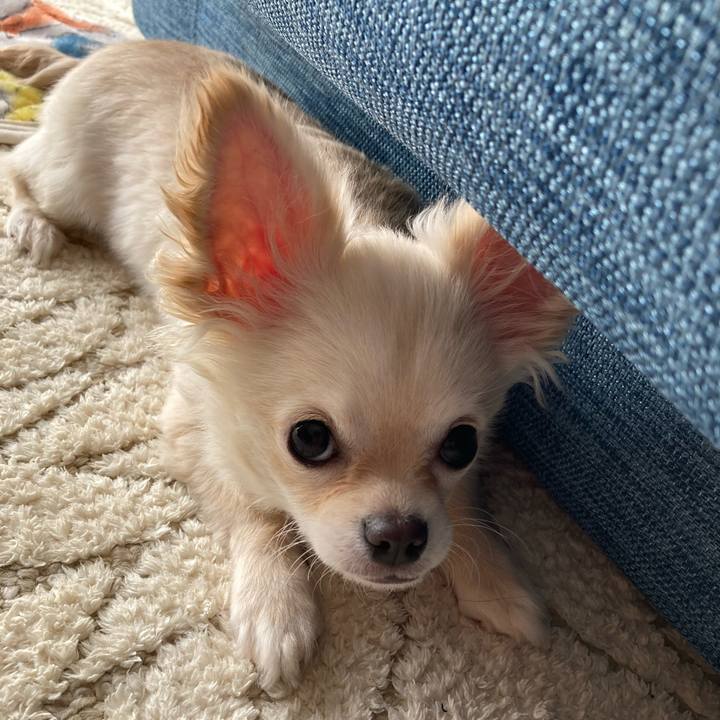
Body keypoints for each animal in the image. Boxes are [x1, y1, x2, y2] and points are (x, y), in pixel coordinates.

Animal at [1, 40, 576, 693]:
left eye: (461, 446)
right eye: (310, 440)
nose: (400, 536)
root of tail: (111, 48)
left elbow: (465, 508)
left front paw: (495, 580)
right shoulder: (192, 425)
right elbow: (254, 511)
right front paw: (276, 608)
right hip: (68, 179)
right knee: (19, 168)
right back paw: (31, 224)